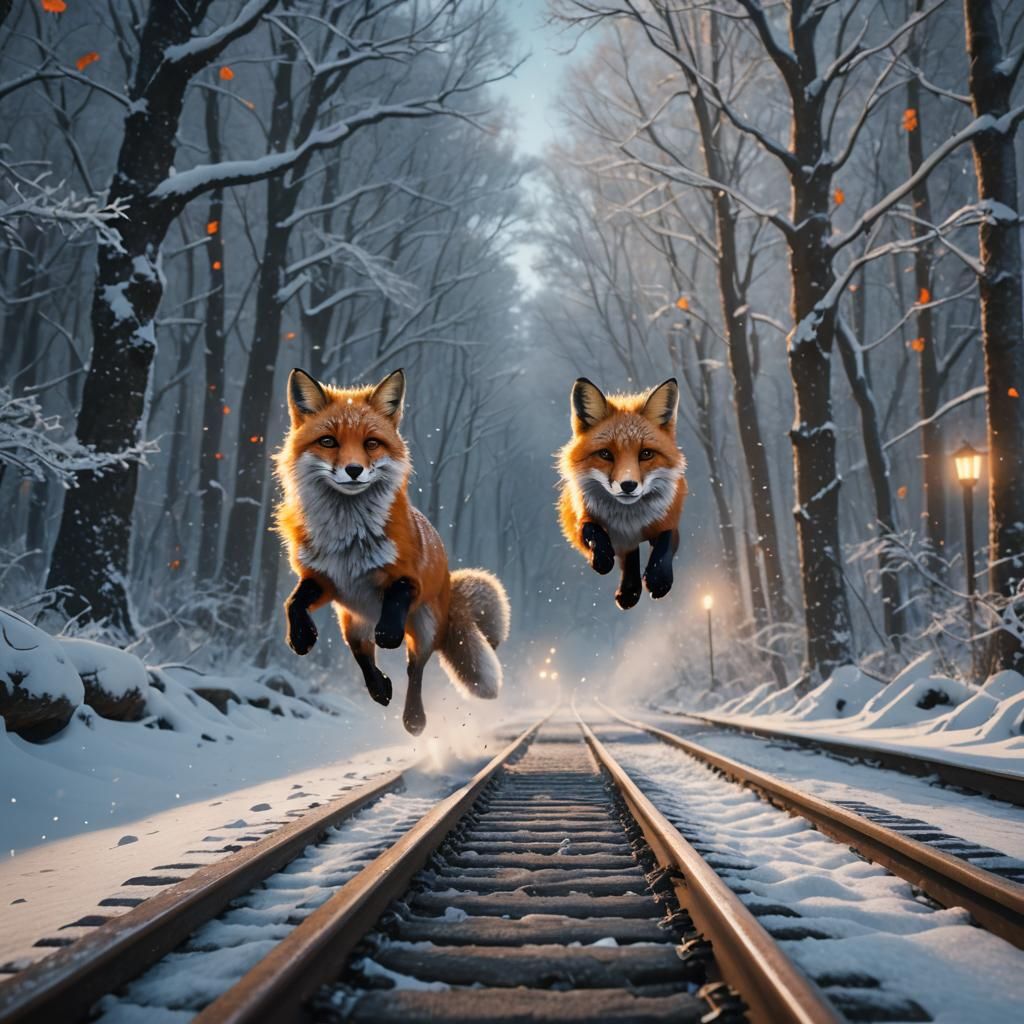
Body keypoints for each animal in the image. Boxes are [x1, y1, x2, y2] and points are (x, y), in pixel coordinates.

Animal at [273, 367, 510, 736]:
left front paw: (388, 631)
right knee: (362, 655)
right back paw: (380, 689)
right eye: (328, 441)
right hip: (351, 621)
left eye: (371, 443)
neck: (348, 542)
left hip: (425, 627)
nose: (354, 470)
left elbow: (397, 595)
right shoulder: (325, 580)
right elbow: (293, 602)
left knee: (416, 669)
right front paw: (300, 637)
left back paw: (414, 719)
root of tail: (449, 584)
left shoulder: (408, 577)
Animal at [558, 376, 687, 609]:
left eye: (646, 454)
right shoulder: (580, 520)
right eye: (605, 454)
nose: (628, 485)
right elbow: (592, 530)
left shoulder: (670, 519)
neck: (629, 519)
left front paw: (658, 580)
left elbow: (664, 545)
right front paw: (602, 558)